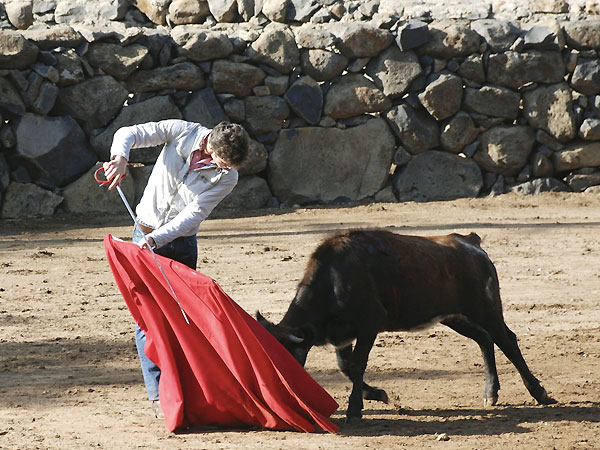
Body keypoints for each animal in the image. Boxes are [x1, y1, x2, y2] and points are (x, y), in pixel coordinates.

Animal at [255, 230, 556, 420]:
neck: (334, 278)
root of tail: (472, 243)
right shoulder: (345, 335)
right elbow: (346, 366)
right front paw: (377, 394)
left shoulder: (369, 323)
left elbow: (356, 365)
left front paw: (355, 410)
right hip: (453, 316)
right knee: (485, 339)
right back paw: (490, 393)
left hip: (487, 309)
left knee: (507, 340)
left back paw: (540, 393)